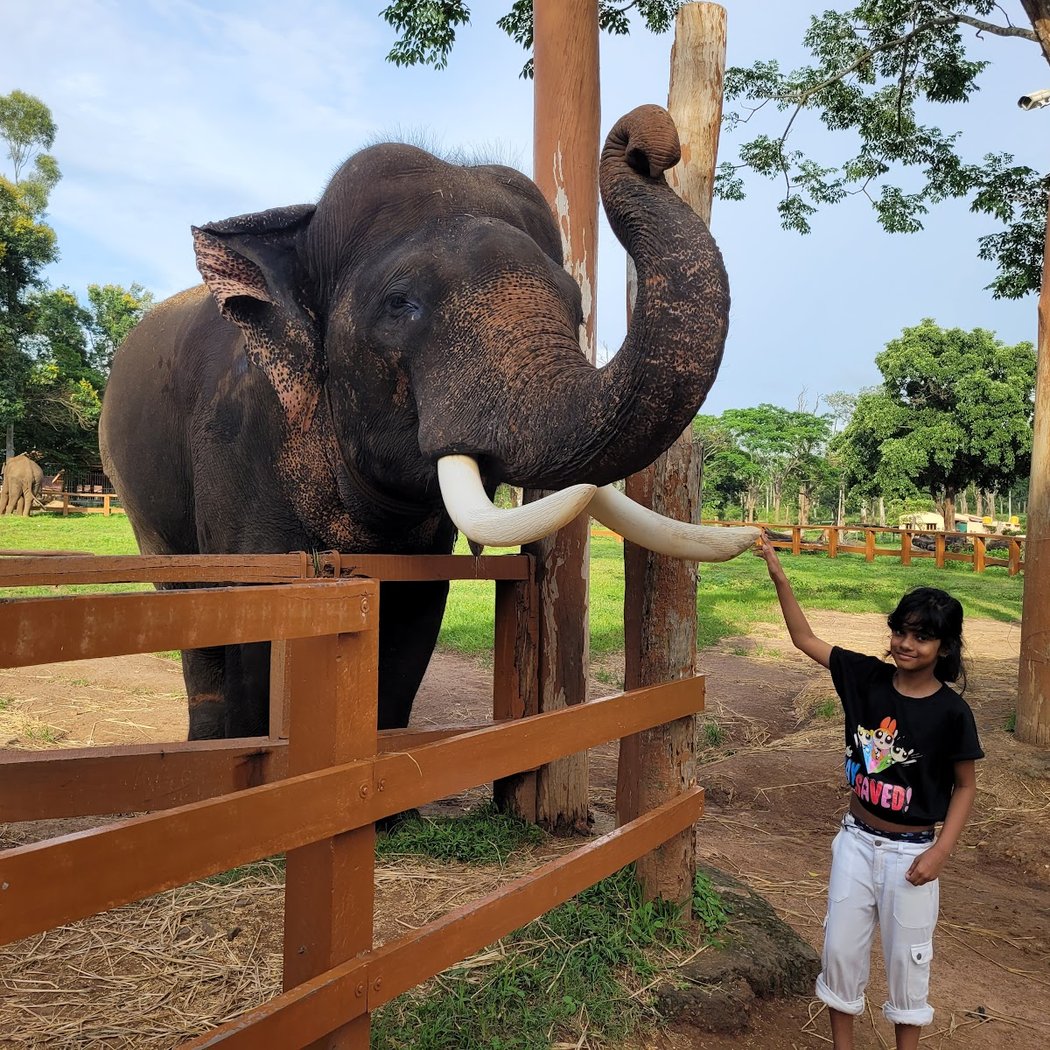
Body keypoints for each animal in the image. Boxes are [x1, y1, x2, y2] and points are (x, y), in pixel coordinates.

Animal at [99, 105, 757, 741]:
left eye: (576, 309)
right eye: (401, 304)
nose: (649, 139)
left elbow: (413, 622)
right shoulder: (239, 443)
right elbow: (257, 621)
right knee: (186, 606)